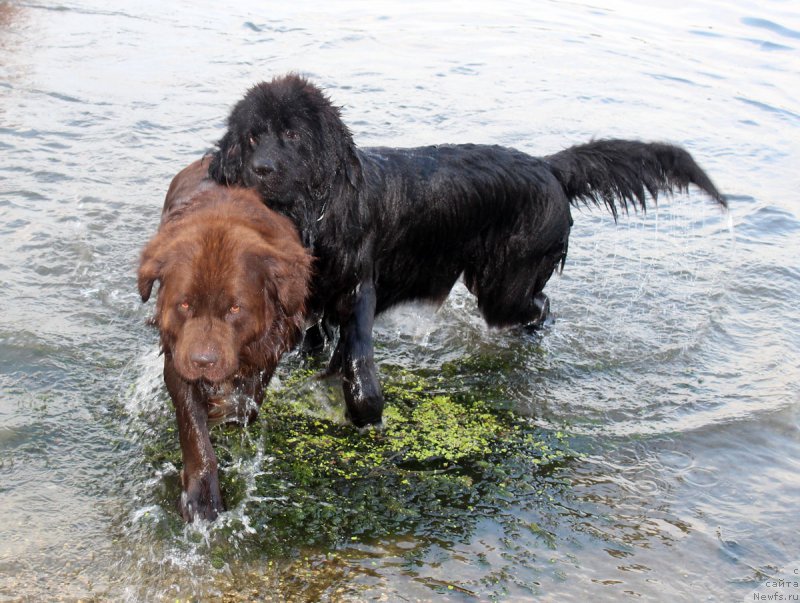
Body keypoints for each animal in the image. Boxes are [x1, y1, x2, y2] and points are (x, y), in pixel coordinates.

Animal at [138, 158, 312, 520]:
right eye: (184, 305)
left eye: (234, 308)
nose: (204, 361)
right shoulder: (178, 357)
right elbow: (194, 430)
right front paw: (202, 494)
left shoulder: (270, 347)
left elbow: (245, 402)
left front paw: (225, 410)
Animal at [209, 72, 728, 430]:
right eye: (252, 136)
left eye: (294, 135)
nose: (261, 169)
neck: (315, 215)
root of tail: (548, 167)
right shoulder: (311, 303)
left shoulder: (358, 290)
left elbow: (357, 365)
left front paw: (366, 414)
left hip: (506, 285)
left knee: (540, 306)